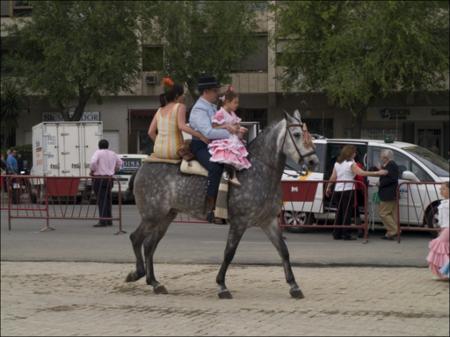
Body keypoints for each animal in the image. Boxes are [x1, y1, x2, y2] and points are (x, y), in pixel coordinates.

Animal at [126, 109, 320, 296]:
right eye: (296, 134)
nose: (313, 161)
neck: (259, 171)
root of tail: (142, 166)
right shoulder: (239, 222)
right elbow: (229, 253)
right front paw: (222, 286)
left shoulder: (268, 221)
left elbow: (283, 251)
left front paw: (294, 286)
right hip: (152, 215)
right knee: (136, 238)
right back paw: (137, 273)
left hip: (165, 217)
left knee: (149, 245)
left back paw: (154, 282)